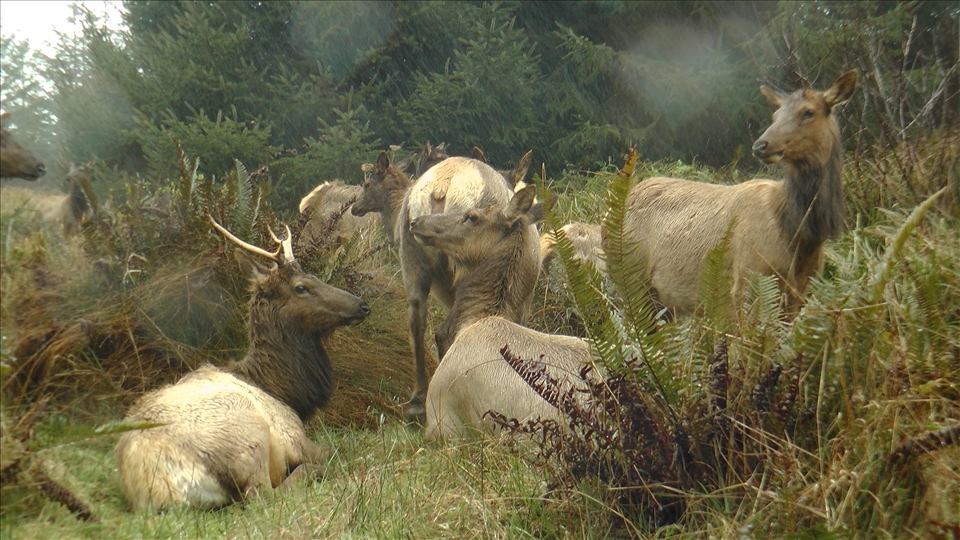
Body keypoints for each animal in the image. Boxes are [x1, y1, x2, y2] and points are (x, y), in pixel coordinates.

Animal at [114, 219, 370, 512]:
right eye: (301, 287)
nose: (362, 305)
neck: (286, 394)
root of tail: (160, 485)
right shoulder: (294, 434)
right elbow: (339, 450)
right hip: (247, 431)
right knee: (262, 493)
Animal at [353, 149, 540, 424]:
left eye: (366, 184)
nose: (354, 207)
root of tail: (441, 186)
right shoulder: (522, 299)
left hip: (411, 258)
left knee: (416, 322)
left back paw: (417, 402)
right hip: (466, 265)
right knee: (444, 331)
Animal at [614, 70, 857, 315]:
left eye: (808, 112)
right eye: (775, 115)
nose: (760, 145)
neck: (800, 237)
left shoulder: (799, 294)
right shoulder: (746, 281)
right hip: (630, 279)